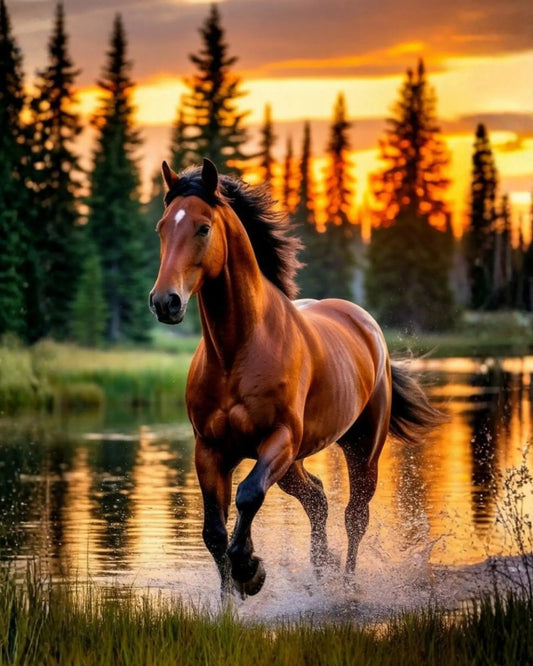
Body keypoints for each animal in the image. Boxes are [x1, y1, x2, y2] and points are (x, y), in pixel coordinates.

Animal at [149, 158, 444, 599]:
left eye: (203, 227)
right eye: (162, 227)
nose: (165, 302)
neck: (237, 351)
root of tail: (366, 325)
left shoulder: (280, 438)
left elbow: (248, 495)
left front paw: (250, 570)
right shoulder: (211, 449)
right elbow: (214, 531)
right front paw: (230, 597)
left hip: (361, 450)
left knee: (354, 516)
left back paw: (346, 585)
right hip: (294, 464)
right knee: (317, 498)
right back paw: (322, 568)